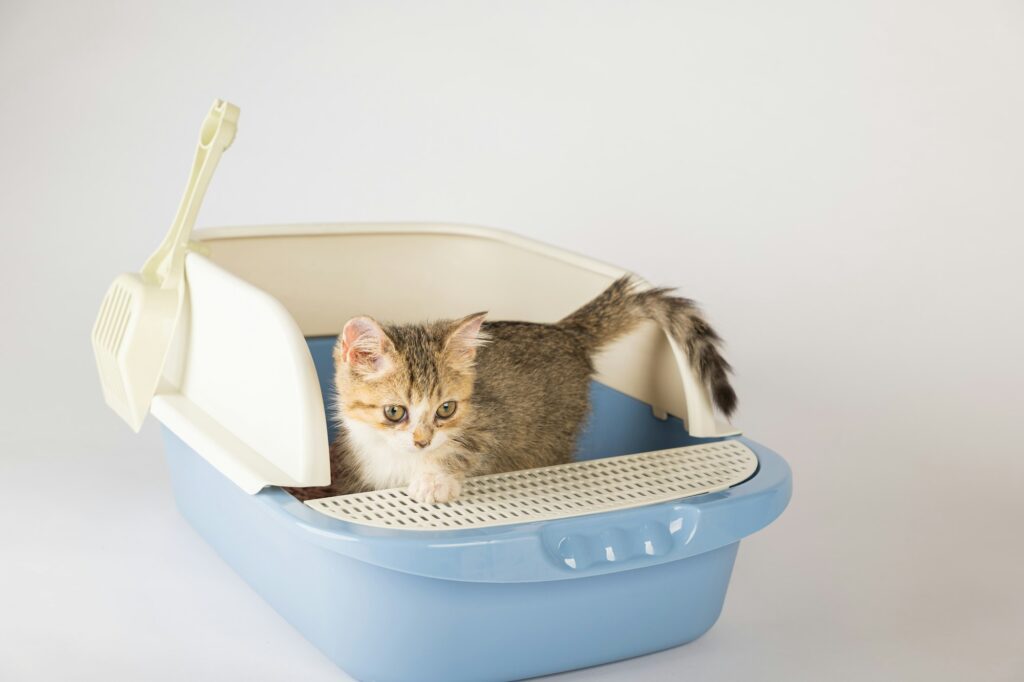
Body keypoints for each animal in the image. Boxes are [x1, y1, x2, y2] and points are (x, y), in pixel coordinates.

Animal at [286, 274, 737, 501]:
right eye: (394, 412)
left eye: (446, 409)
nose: (422, 441)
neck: (396, 457)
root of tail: (563, 331)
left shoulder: (490, 422)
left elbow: (470, 447)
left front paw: (435, 480)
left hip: (550, 437)